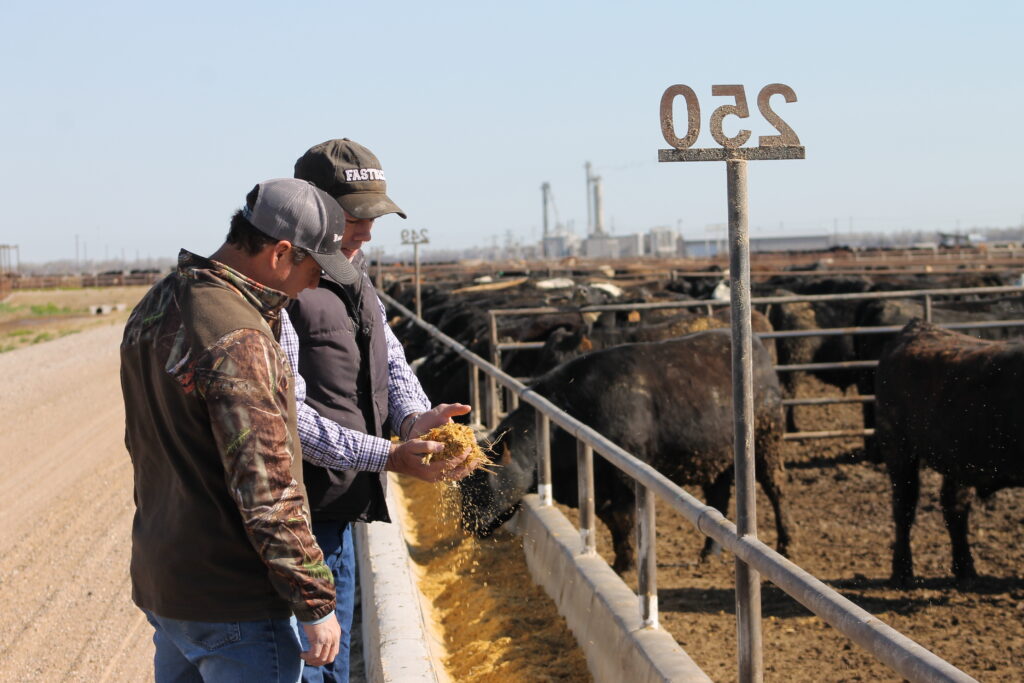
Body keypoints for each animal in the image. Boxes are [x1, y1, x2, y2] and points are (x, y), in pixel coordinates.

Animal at [458, 327, 790, 573]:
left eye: (481, 481)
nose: (468, 525)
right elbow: (615, 525)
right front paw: (621, 561)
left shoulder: (625, 482)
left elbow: (624, 523)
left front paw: (625, 565)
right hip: (715, 457)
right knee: (718, 494)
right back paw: (709, 552)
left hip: (767, 443)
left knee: (776, 489)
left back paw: (785, 543)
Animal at [876, 321, 1019, 589]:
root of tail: (918, 326)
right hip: (898, 448)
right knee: (904, 507)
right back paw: (903, 572)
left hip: (958, 461)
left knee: (954, 508)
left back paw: (965, 570)